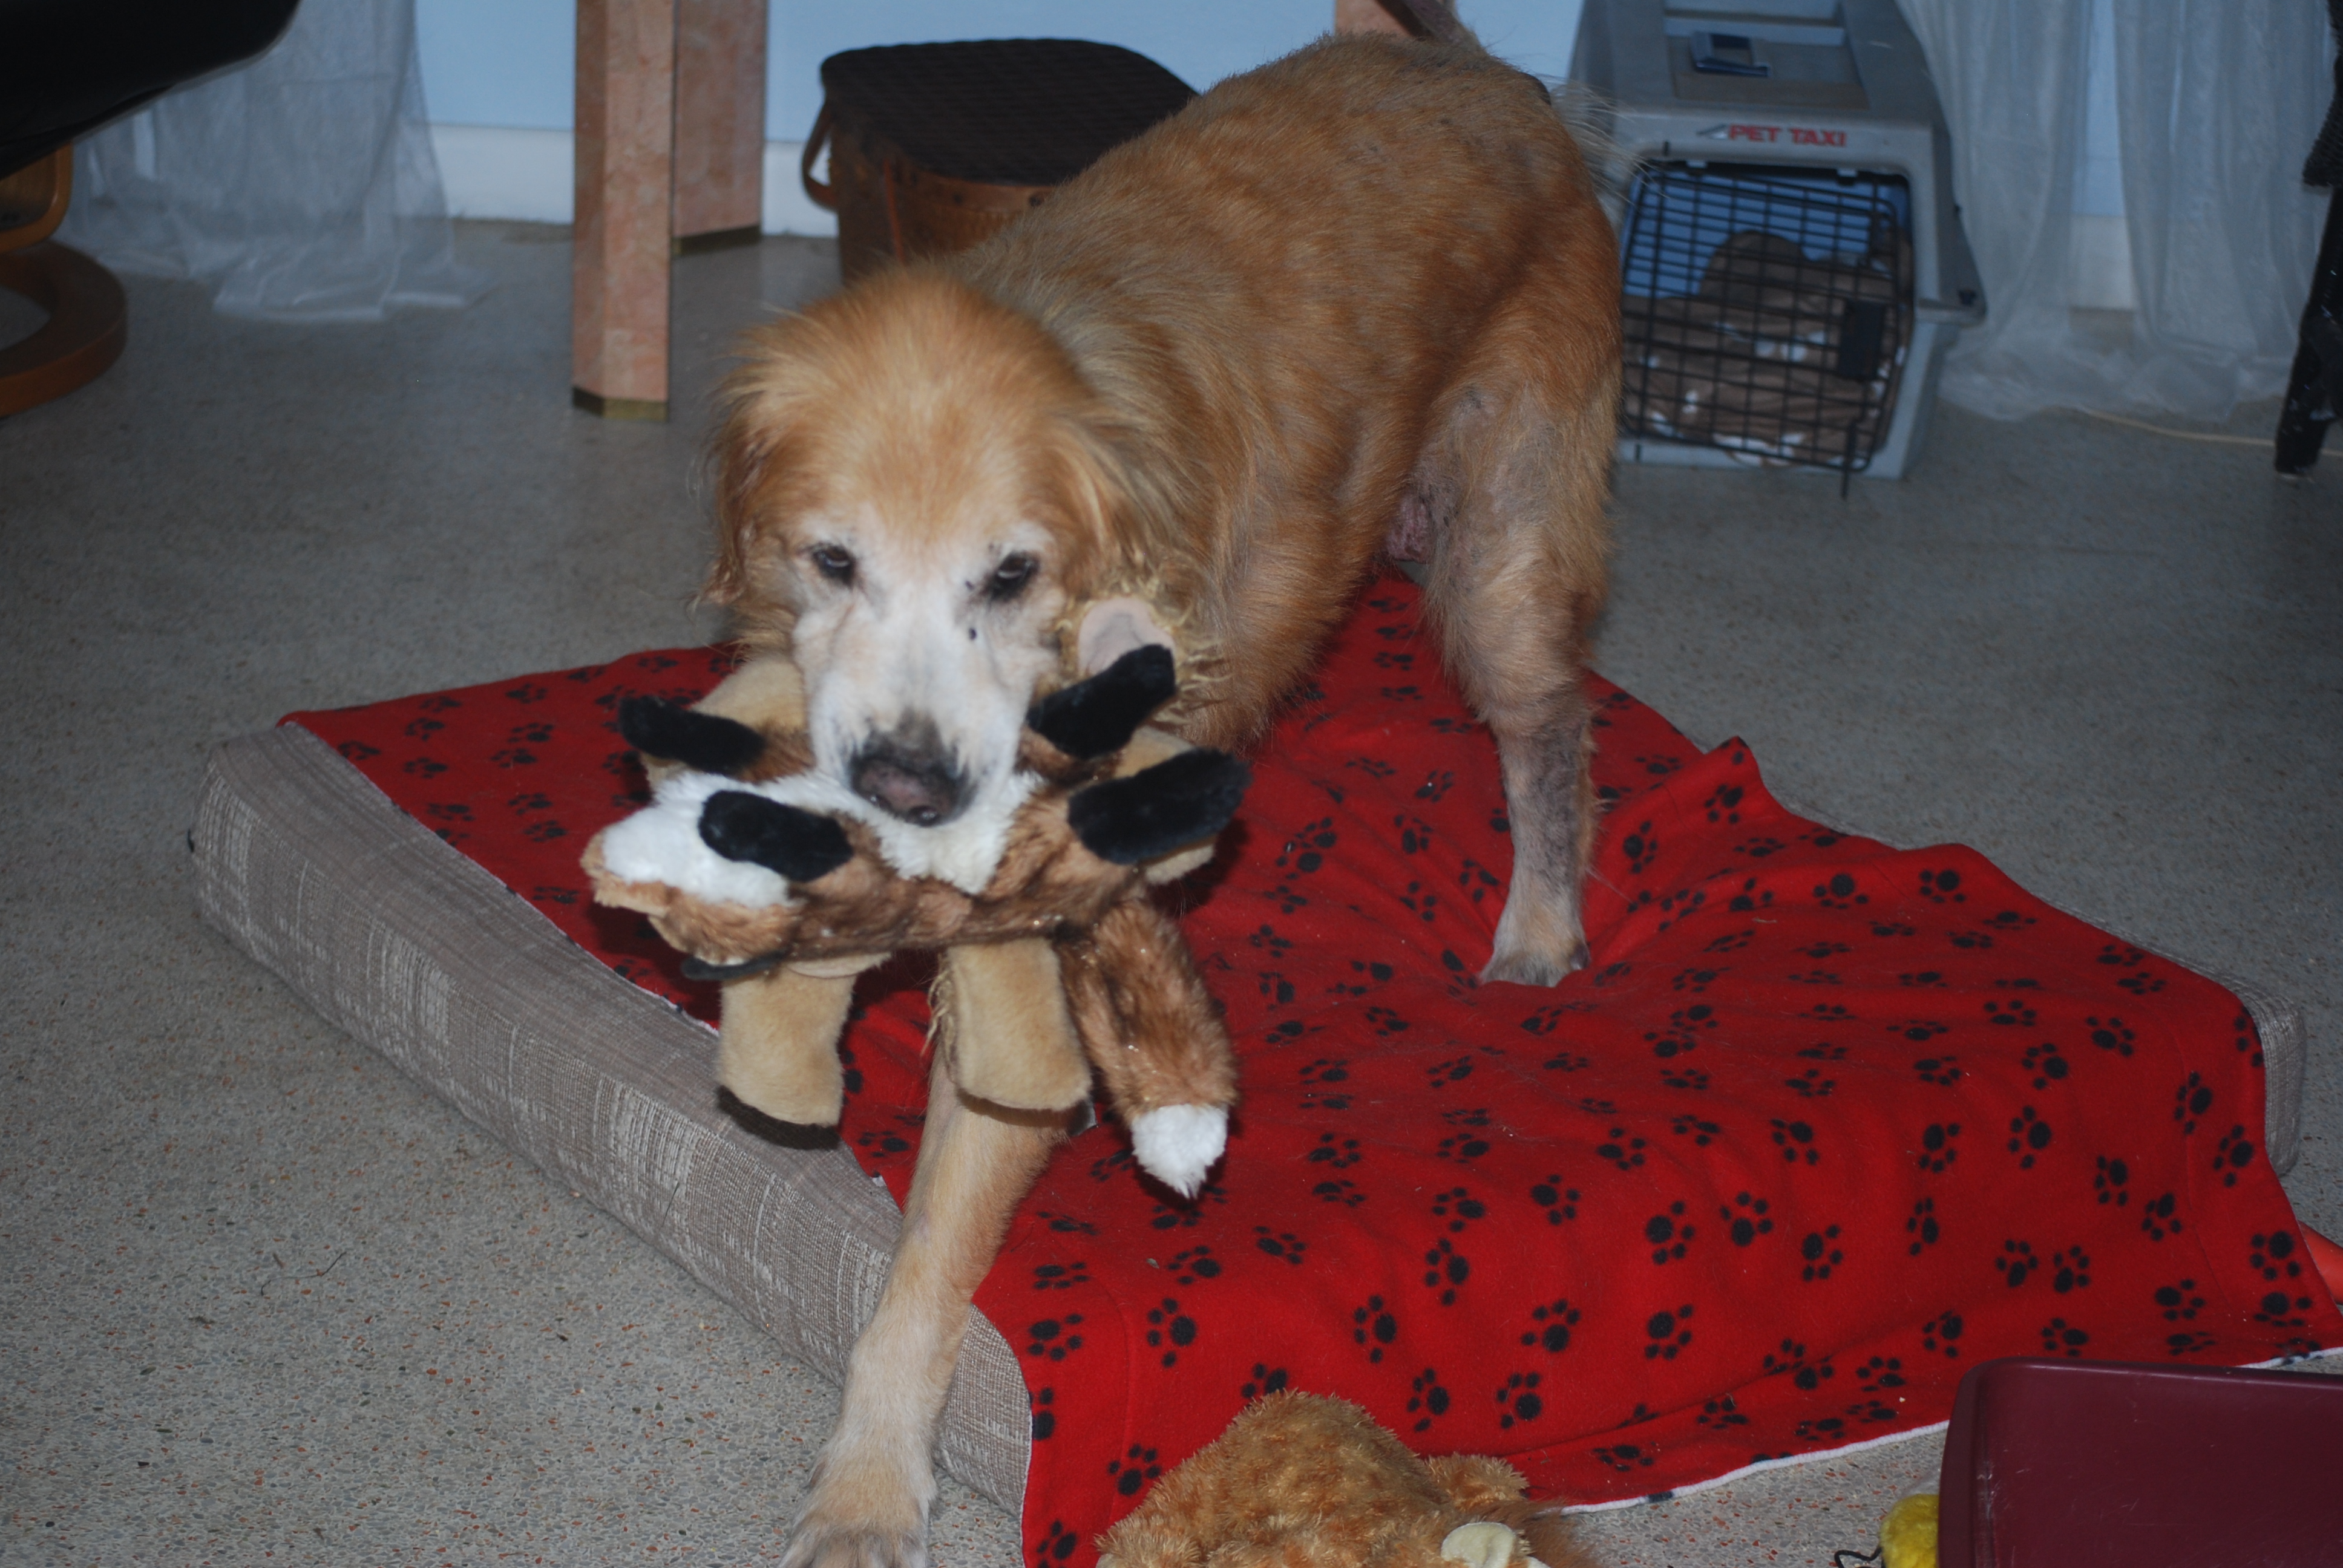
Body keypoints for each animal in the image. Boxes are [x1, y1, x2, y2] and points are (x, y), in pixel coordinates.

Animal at [697, 27, 1618, 1568]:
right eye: (832, 561)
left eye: (1009, 574)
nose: (908, 781)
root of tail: (1479, 65)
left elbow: (925, 1263)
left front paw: (867, 1492)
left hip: (1498, 551)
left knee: (1552, 732)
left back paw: (1538, 932)